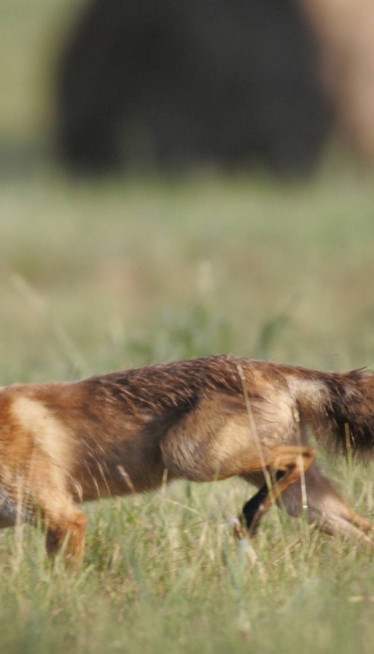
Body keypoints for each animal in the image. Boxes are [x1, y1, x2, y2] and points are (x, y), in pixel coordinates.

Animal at [0, 356, 374, 568]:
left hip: (189, 457)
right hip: (304, 504)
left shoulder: (65, 519)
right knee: (365, 529)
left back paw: (250, 516)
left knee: (303, 456)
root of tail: (266, 367)